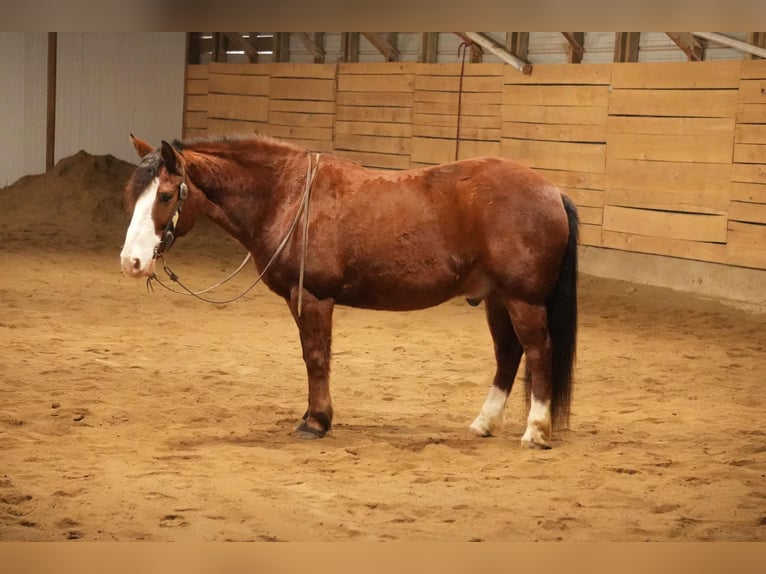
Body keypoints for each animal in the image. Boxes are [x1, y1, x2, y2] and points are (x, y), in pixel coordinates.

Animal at [120, 135, 580, 450]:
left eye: (165, 195)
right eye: (131, 195)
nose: (131, 262)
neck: (287, 197)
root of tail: (553, 191)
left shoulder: (314, 298)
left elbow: (316, 357)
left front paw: (316, 422)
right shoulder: (299, 299)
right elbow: (310, 357)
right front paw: (312, 415)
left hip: (522, 300)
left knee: (537, 351)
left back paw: (535, 431)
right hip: (496, 299)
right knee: (508, 353)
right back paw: (484, 423)